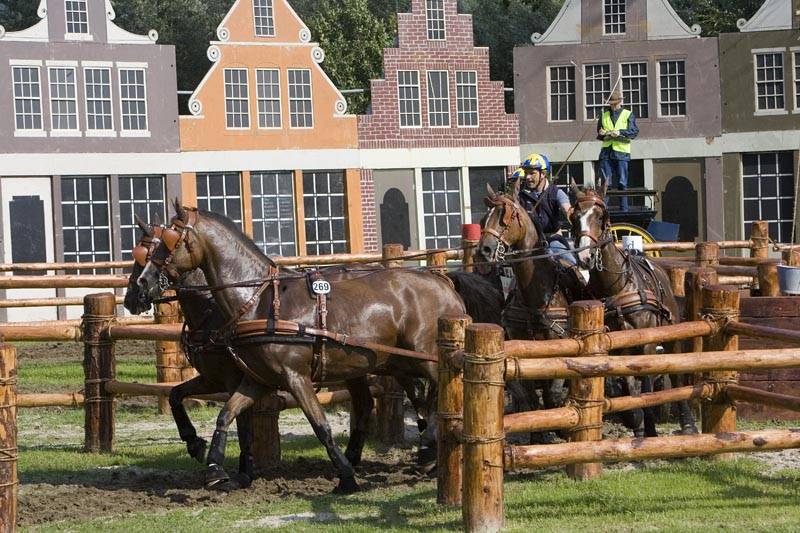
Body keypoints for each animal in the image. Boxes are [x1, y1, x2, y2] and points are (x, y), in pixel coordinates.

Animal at [133, 203, 465, 493]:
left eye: (169, 242)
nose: (141, 285)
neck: (258, 302)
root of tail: (444, 284)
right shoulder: (256, 379)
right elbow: (223, 414)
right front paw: (215, 468)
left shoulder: (294, 377)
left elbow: (320, 425)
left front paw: (346, 478)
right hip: (389, 363)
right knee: (399, 402)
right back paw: (424, 452)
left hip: (428, 360)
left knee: (439, 396)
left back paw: (429, 449)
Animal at [475, 182, 585, 425]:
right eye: (483, 219)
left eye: (505, 217)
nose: (483, 251)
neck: (537, 297)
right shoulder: (520, 347)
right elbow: (530, 398)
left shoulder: (561, 345)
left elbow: (553, 394)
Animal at [569, 181, 698, 436]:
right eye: (575, 217)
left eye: (600, 216)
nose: (585, 257)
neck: (617, 286)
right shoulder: (616, 347)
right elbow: (629, 386)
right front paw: (637, 424)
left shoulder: (646, 342)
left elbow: (646, 385)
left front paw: (650, 429)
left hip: (672, 336)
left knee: (676, 377)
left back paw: (687, 423)